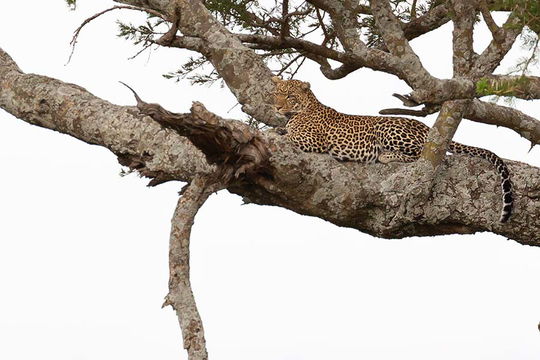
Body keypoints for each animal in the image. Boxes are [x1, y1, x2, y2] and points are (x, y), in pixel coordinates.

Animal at [272, 76, 512, 222]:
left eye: (290, 96)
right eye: (277, 93)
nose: (276, 106)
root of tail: (425, 126)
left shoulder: (314, 139)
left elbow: (291, 136)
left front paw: (277, 132)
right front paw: (278, 128)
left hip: (387, 128)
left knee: (427, 155)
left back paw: (386, 156)